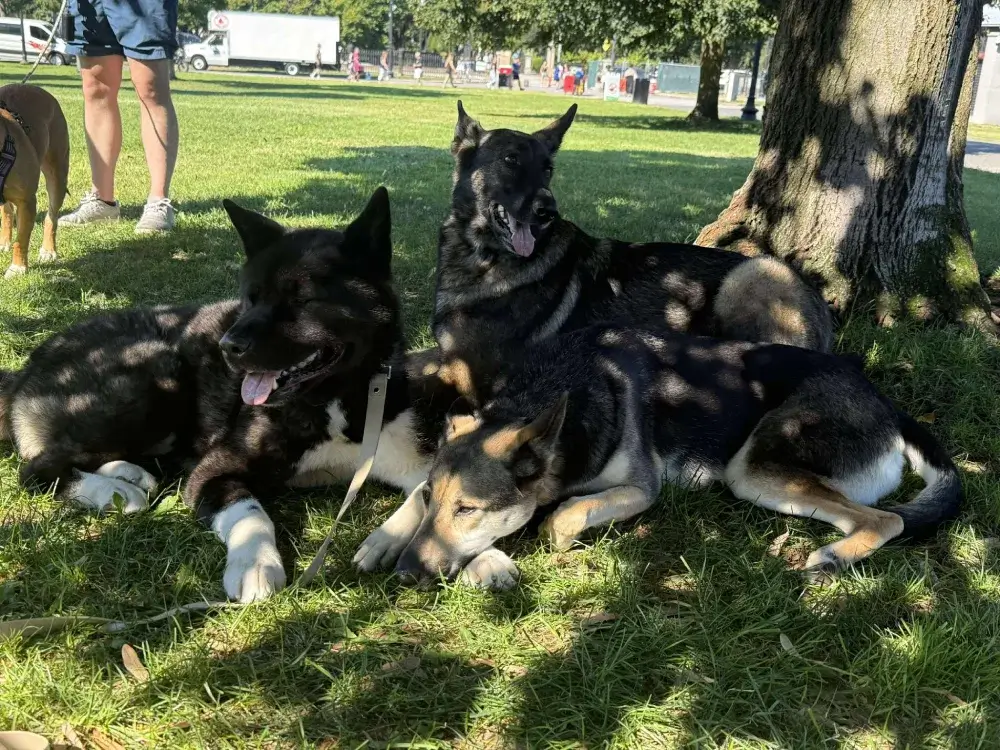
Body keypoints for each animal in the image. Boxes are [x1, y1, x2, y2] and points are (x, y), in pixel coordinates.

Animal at [0, 84, 70, 278]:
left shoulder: (26, 201)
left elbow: (21, 240)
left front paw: (17, 268)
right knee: (7, 211)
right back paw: (4, 241)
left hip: (57, 175)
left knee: (51, 216)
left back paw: (48, 250)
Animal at [0, 187, 454, 602]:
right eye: (250, 298)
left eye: (303, 300)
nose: (227, 347)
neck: (330, 403)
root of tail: (28, 367)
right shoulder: (213, 472)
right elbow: (250, 512)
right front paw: (256, 563)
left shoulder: (406, 453)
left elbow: (431, 488)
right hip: (156, 376)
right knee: (38, 467)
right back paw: (114, 491)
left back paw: (126, 474)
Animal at [364, 326, 961, 590]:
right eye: (431, 497)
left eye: (467, 509)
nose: (406, 575)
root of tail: (886, 404)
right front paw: (384, 536)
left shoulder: (639, 489)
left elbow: (562, 516)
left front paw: (552, 535)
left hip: (753, 469)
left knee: (886, 520)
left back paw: (834, 556)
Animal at [432, 101, 833, 404]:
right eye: (510, 161)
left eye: (547, 170)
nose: (549, 211)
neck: (481, 255)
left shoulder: (469, 375)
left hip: (754, 274)